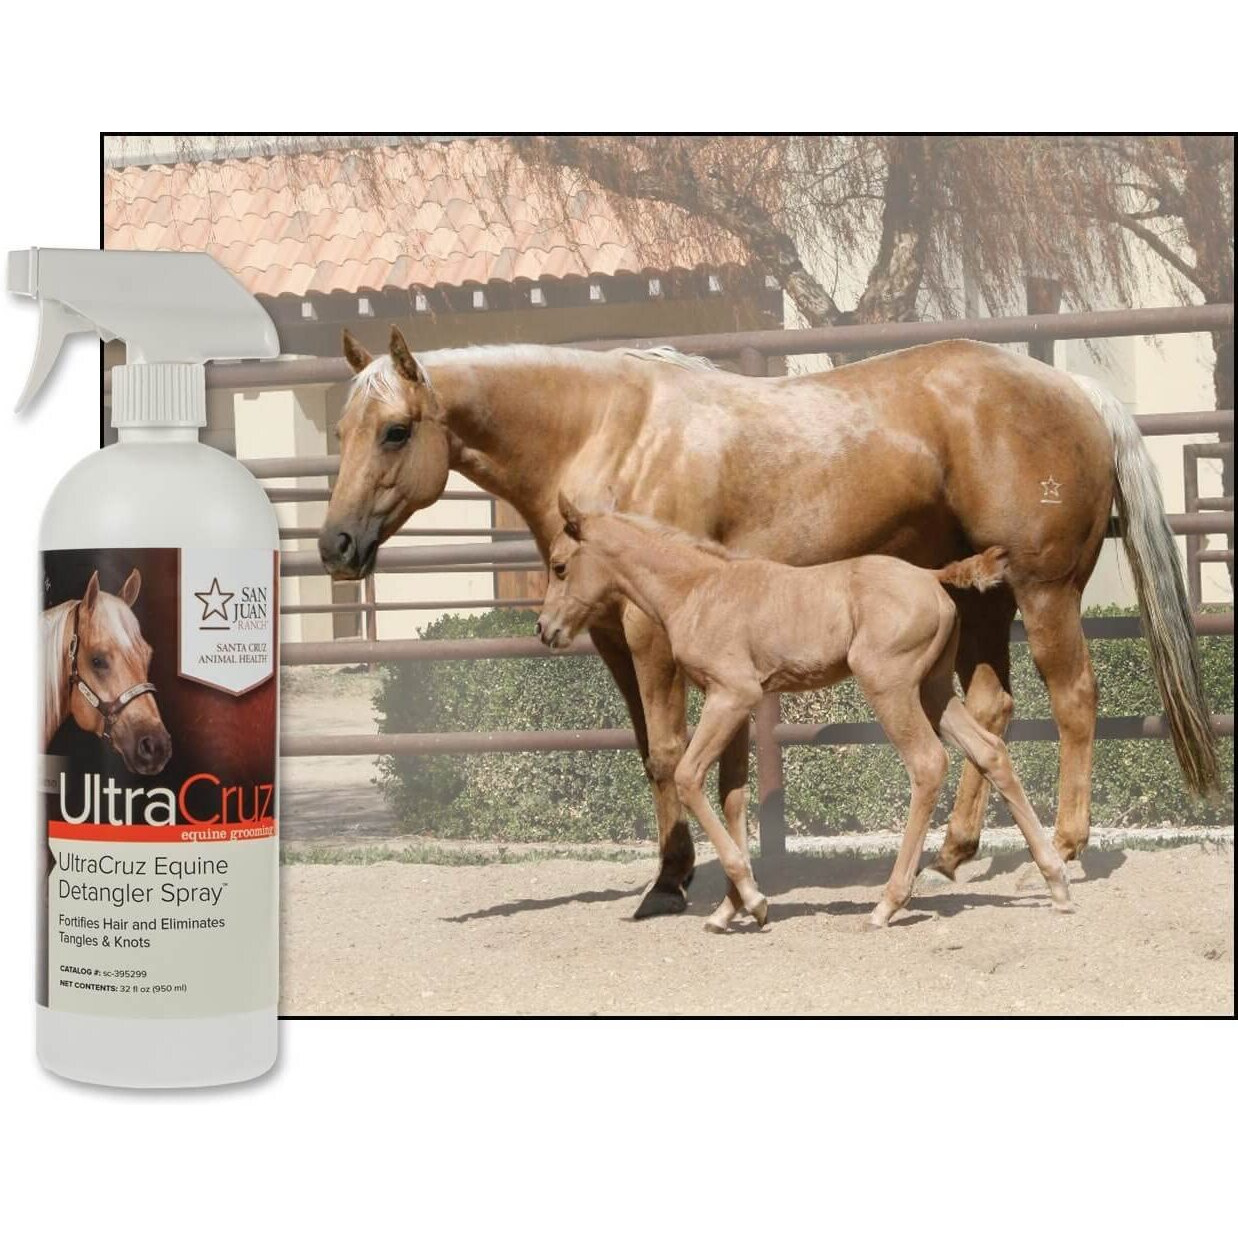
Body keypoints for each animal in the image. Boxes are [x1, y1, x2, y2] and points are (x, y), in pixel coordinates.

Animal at [535, 499, 1072, 929]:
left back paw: (888, 903)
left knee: (927, 763)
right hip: (934, 689)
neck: (698, 589)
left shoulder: (731, 695)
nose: (545, 629)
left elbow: (688, 777)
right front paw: (731, 908)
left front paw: (753, 901)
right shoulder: (735, 702)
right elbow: (733, 796)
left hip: (890, 686)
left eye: (559, 567)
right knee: (990, 751)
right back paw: (1056, 883)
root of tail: (930, 575)